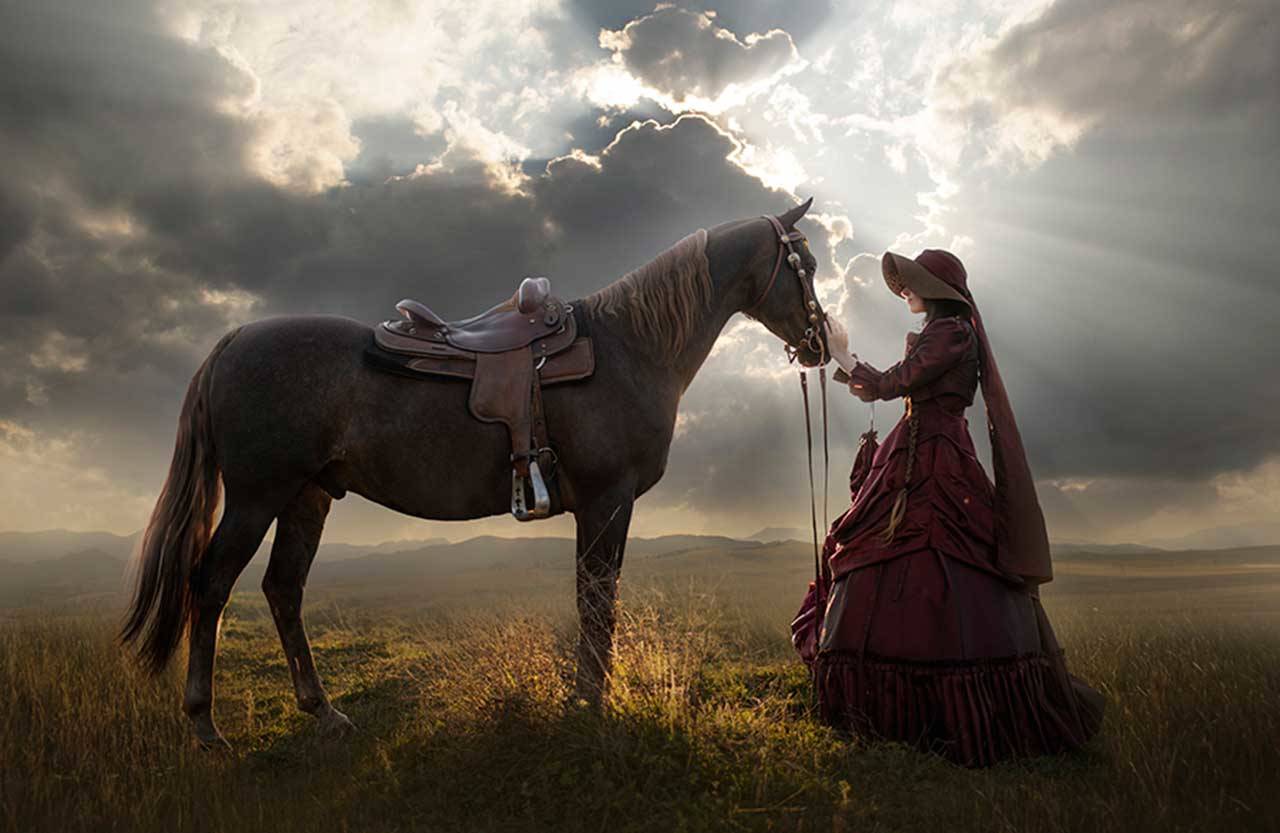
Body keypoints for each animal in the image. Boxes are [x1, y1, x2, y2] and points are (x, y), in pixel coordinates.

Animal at [122, 197, 829, 747]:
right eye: (808, 264)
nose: (821, 342)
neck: (630, 347)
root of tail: (234, 341)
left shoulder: (603, 506)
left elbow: (593, 598)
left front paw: (586, 694)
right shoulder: (608, 500)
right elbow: (598, 599)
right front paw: (592, 700)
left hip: (306, 497)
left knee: (283, 590)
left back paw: (323, 713)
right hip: (256, 497)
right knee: (211, 585)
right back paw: (205, 725)